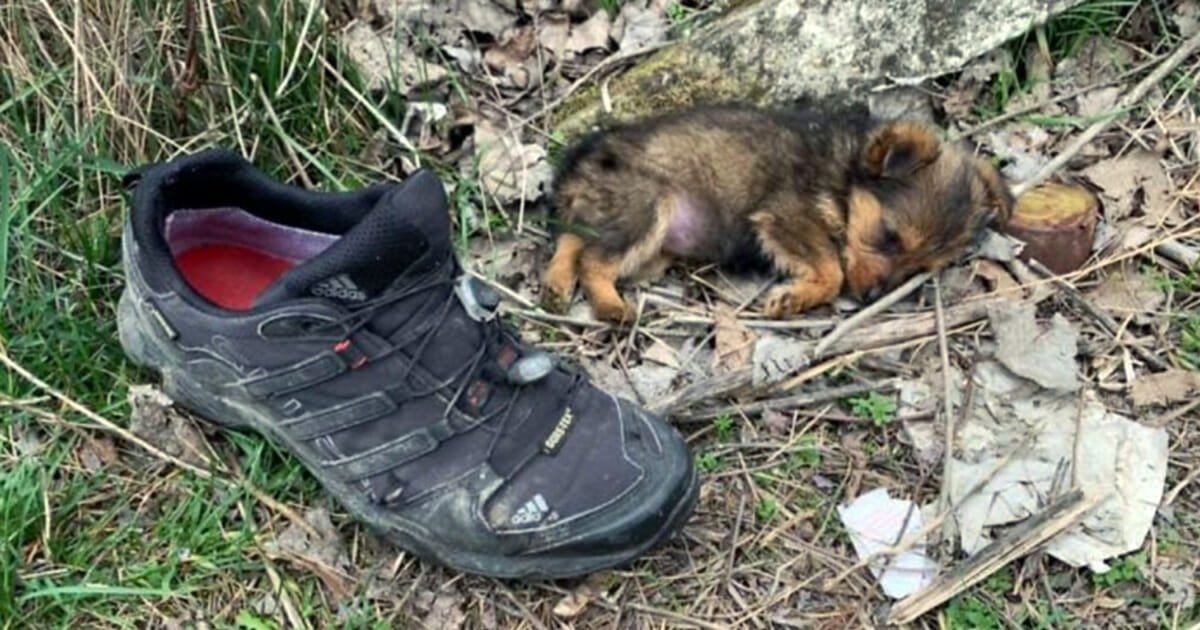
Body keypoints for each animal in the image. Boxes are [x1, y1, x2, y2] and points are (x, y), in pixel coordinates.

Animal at [544, 104, 1012, 319]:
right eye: (889, 237)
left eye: (920, 269)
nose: (871, 298)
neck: (843, 176)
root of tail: (580, 162)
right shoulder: (786, 216)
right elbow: (832, 270)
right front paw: (793, 298)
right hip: (646, 208)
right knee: (593, 259)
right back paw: (609, 305)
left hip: (632, 230)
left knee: (573, 237)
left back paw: (556, 283)